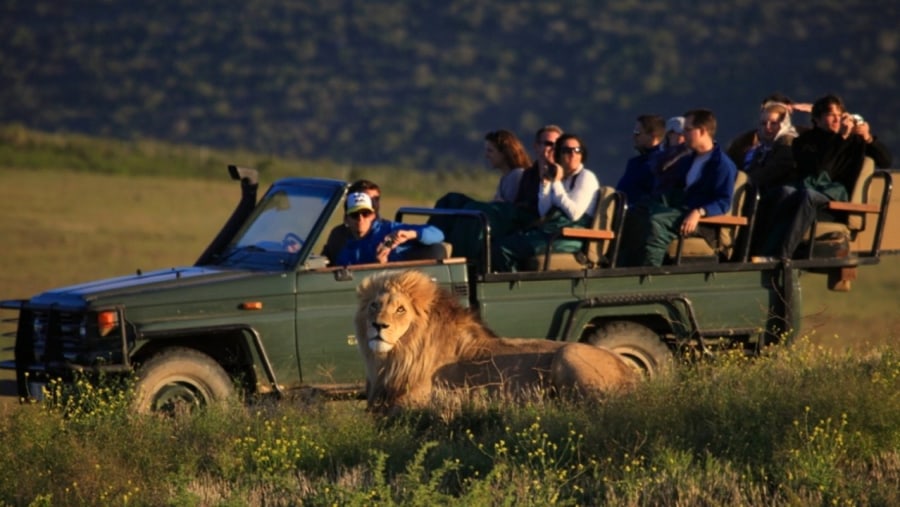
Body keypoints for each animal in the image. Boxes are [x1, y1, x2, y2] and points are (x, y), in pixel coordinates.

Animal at [356, 270, 636, 412]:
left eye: (400, 309)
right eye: (374, 306)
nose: (378, 325)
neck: (395, 356)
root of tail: (629, 370)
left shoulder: (415, 401)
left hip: (569, 355)